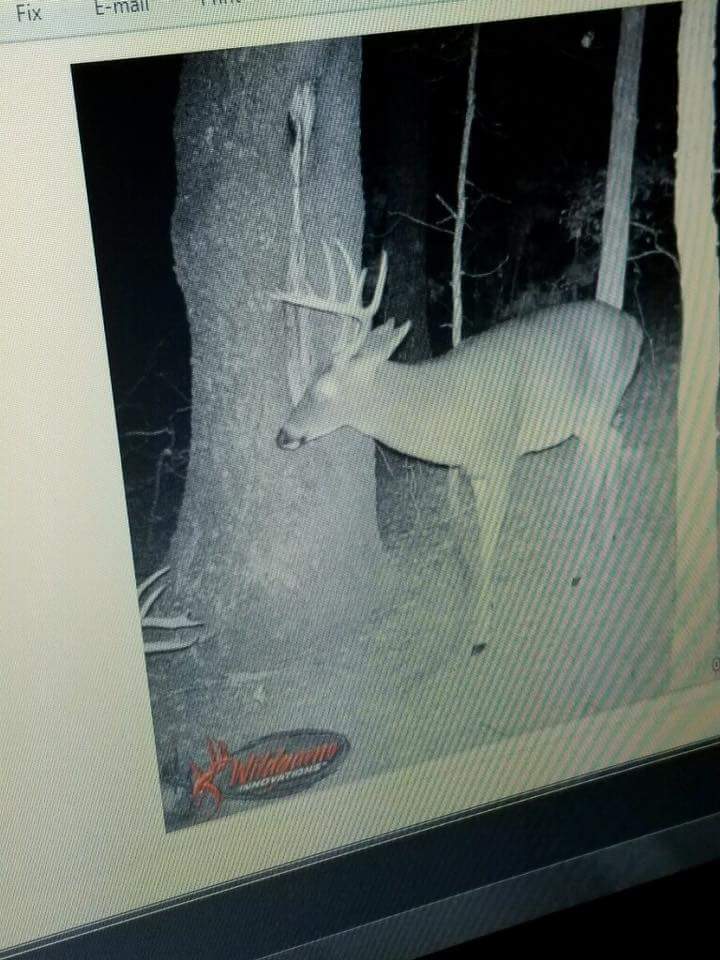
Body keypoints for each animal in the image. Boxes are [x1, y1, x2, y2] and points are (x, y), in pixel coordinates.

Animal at [272, 243, 642, 636]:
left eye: (323, 387)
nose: (283, 435)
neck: (443, 416)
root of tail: (633, 326)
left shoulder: (497, 459)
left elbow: (488, 539)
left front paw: (481, 626)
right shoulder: (472, 469)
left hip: (600, 403)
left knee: (611, 447)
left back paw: (597, 546)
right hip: (585, 417)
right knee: (608, 447)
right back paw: (596, 538)